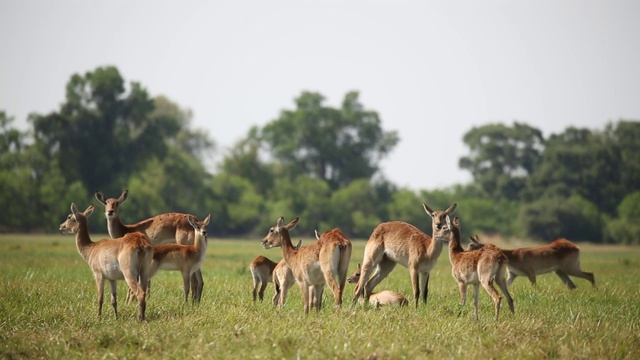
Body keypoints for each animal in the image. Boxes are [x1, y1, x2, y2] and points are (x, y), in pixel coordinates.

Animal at [464, 236, 596, 290]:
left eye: (471, 245)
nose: (463, 252)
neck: (512, 257)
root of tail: (577, 247)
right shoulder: (513, 274)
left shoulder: (531, 272)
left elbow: (534, 287)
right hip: (560, 270)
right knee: (572, 285)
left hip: (570, 266)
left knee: (590, 274)